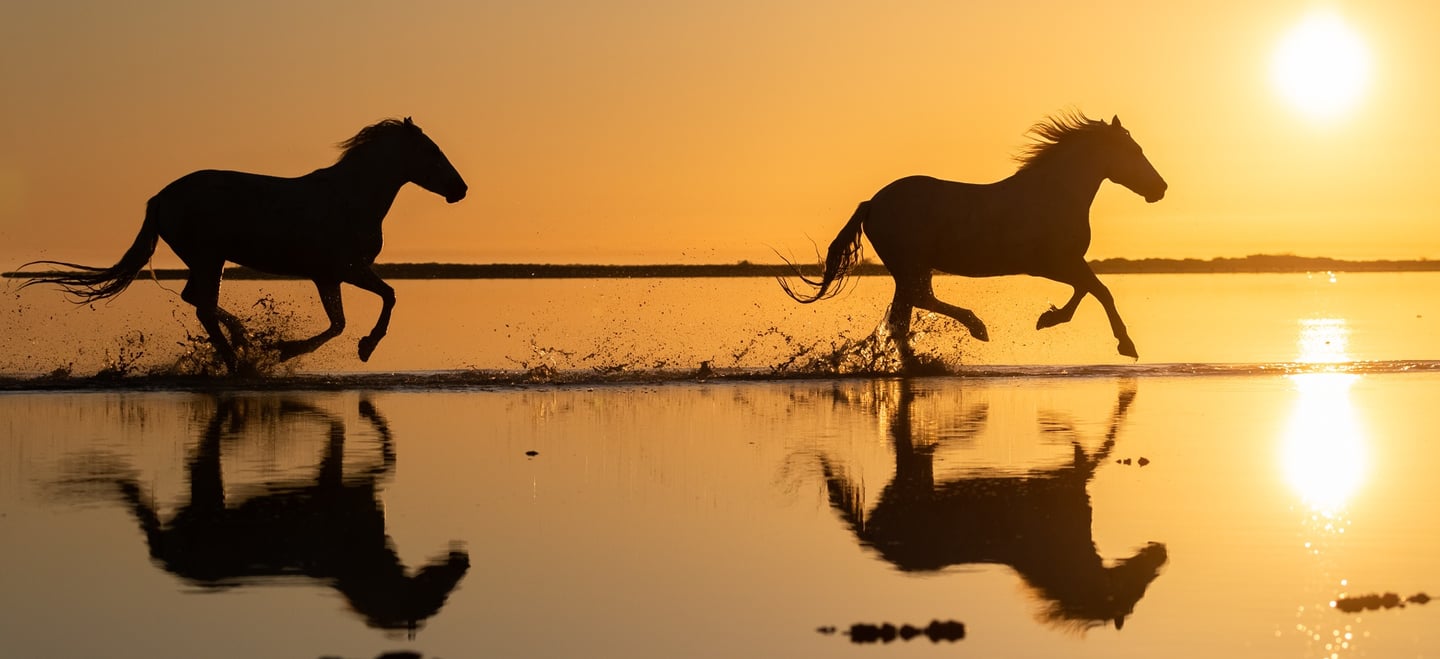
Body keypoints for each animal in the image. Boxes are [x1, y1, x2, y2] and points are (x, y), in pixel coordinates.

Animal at [21, 117, 468, 373]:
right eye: (431, 151)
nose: (460, 189)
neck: (350, 197)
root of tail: (161, 197)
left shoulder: (330, 275)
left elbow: (347, 318)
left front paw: (280, 347)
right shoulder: (343, 270)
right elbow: (379, 301)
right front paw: (354, 348)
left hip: (208, 260)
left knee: (196, 299)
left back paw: (241, 341)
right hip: (207, 257)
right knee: (202, 305)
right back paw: (238, 361)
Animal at [781, 113, 1166, 368]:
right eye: (1134, 151)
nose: (1160, 188)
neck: (1055, 194)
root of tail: (873, 203)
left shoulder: (1068, 262)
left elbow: (1089, 289)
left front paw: (1049, 317)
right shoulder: (1049, 264)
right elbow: (1099, 290)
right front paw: (1124, 344)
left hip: (912, 267)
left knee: (907, 311)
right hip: (910, 264)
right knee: (915, 303)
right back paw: (975, 328)